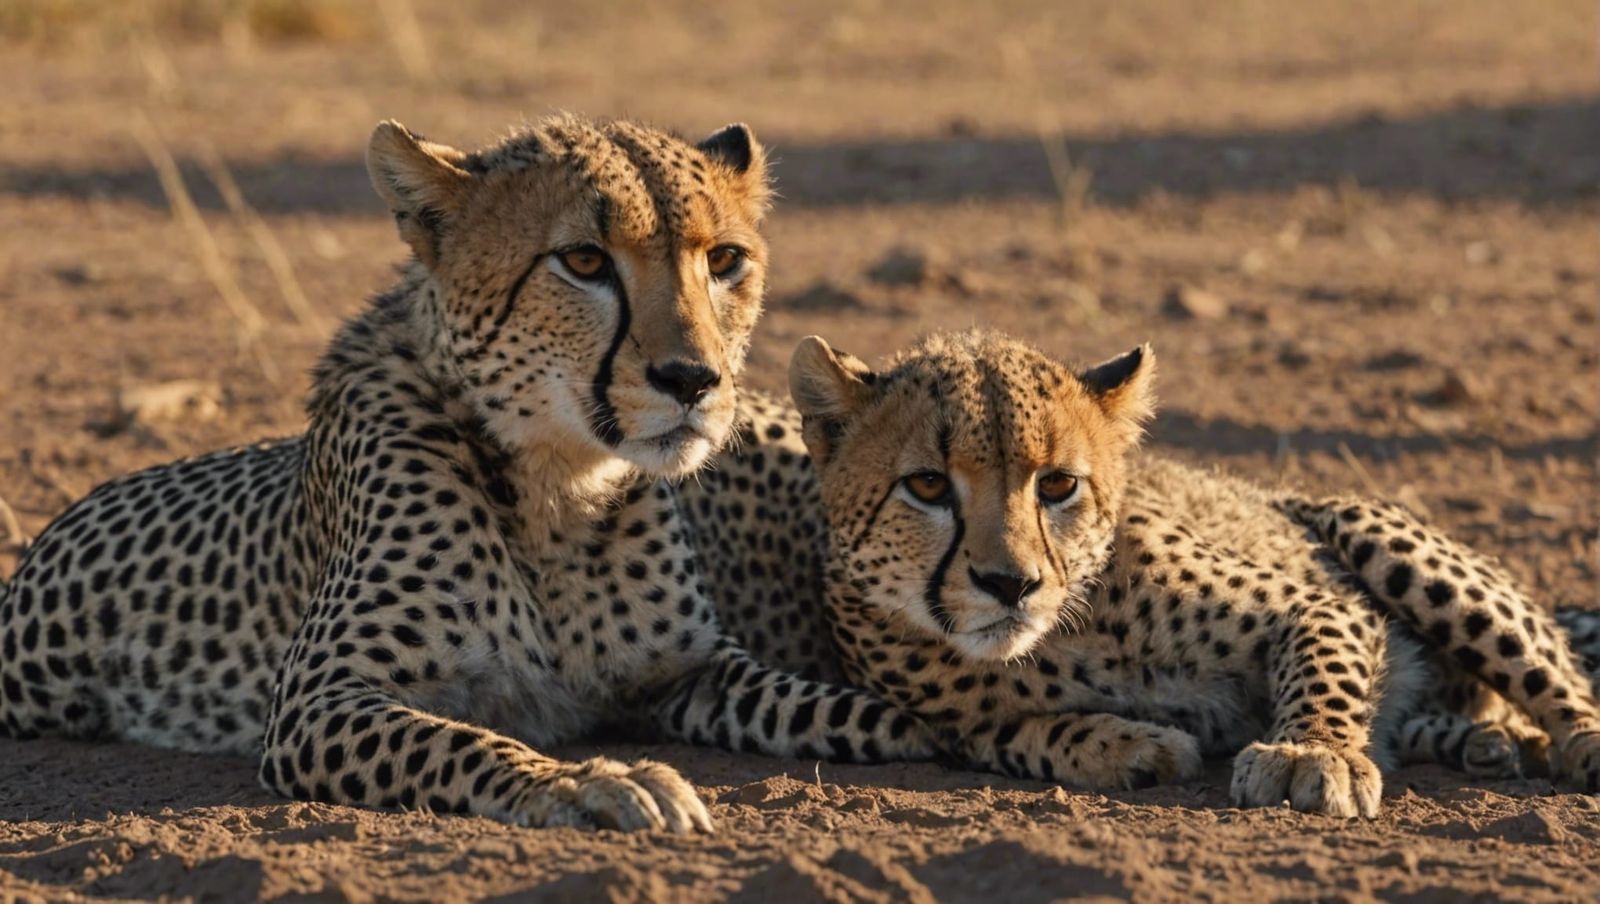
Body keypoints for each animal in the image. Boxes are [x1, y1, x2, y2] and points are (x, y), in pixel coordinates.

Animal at [0, 114, 934, 834]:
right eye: (584, 262)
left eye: (726, 260)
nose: (693, 380)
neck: (560, 486)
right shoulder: (317, 697)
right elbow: (464, 740)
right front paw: (596, 784)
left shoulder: (691, 671)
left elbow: (835, 703)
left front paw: (956, 725)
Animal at [719, 327, 1600, 818]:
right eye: (929, 486)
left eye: (1058, 485)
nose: (1011, 584)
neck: (1060, 637)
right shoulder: (948, 723)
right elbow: (1019, 735)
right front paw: (1132, 746)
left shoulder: (1317, 605)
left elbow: (1324, 664)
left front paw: (1310, 753)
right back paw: (1483, 744)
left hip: (1376, 533)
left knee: (1557, 680)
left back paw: (1570, 746)